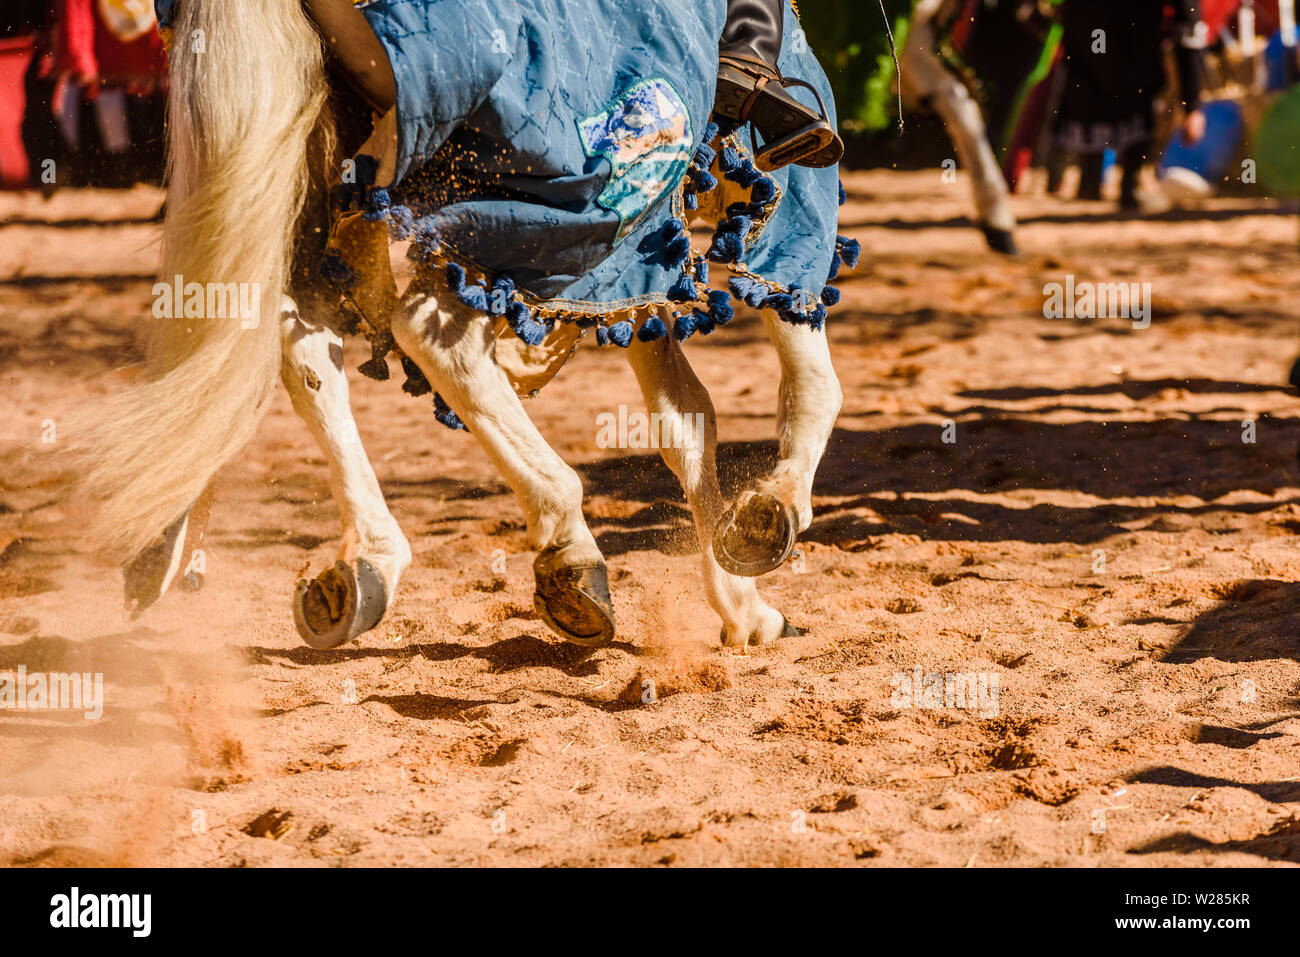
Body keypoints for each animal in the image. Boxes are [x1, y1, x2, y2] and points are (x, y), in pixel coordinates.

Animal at [68, 0, 842, 650]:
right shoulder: (755, 191)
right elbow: (806, 358)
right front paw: (770, 513)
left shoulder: (641, 262)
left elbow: (684, 418)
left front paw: (742, 604)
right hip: (565, 202)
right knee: (430, 328)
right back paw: (567, 550)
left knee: (291, 336)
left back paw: (356, 564)